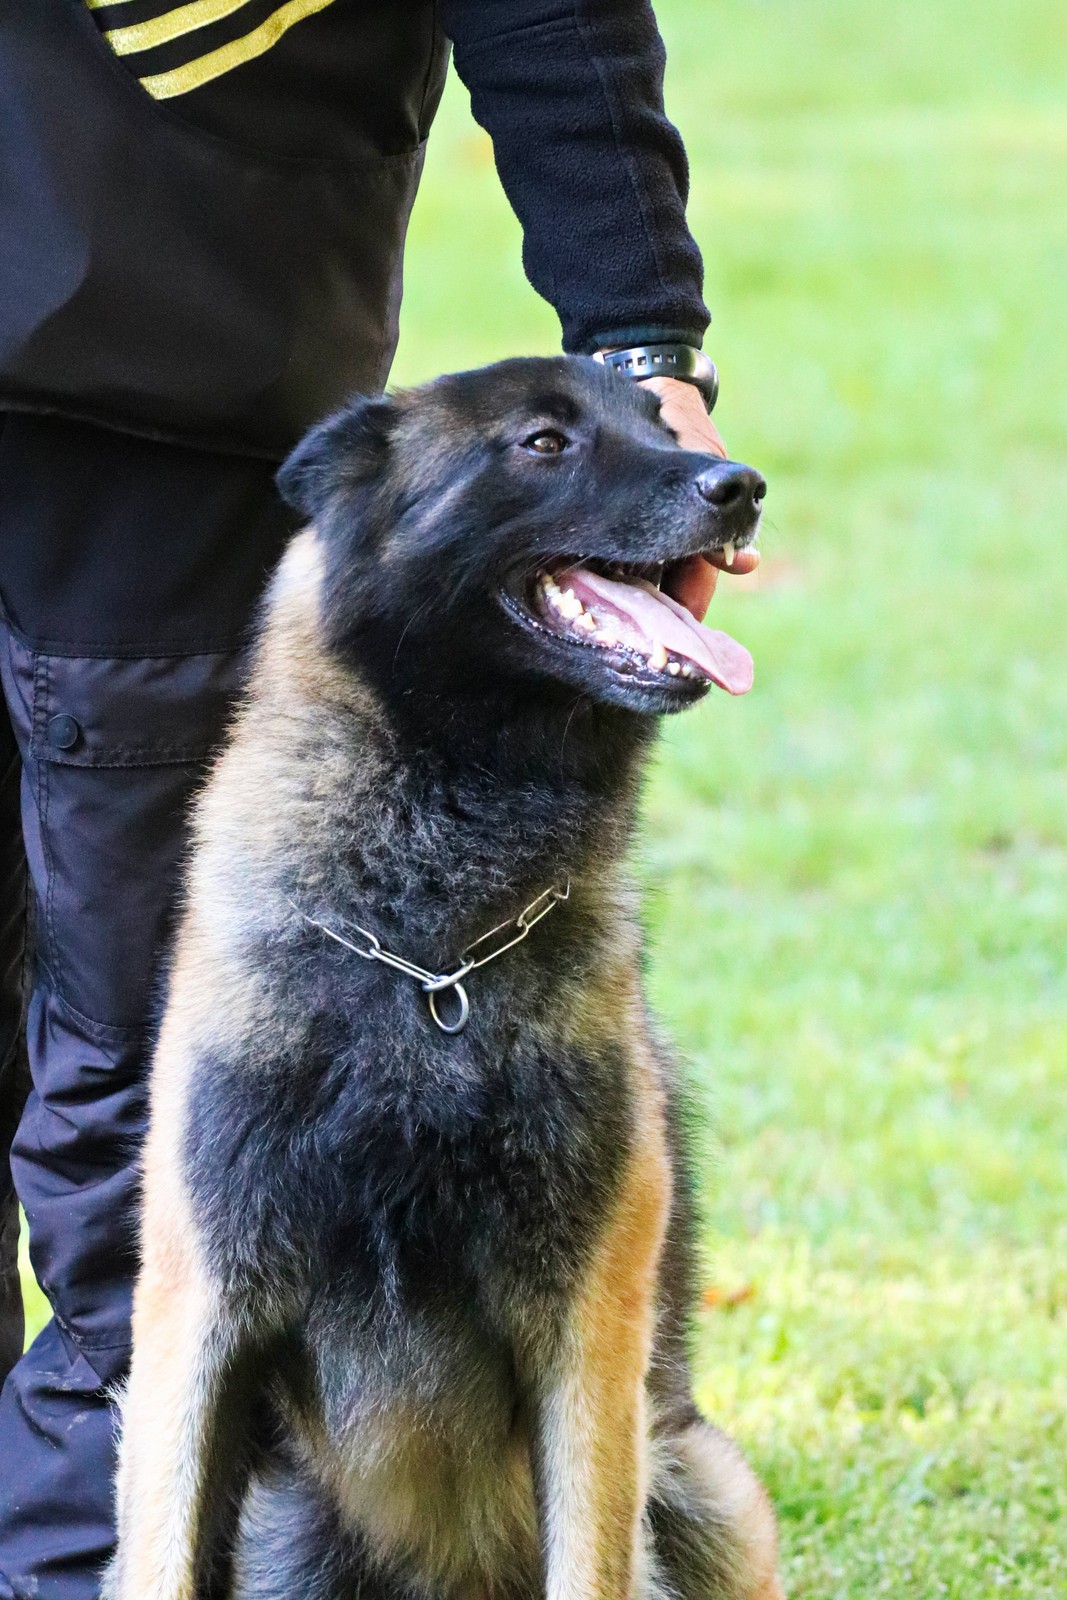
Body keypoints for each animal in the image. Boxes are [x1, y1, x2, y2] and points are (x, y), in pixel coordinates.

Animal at [106, 356, 783, 1600]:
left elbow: (588, 1560)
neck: (427, 954)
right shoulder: (196, 1323)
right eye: (542, 442)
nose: (739, 485)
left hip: (702, 1487)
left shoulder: (587, 1339)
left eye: (659, 426)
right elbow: (159, 1556)